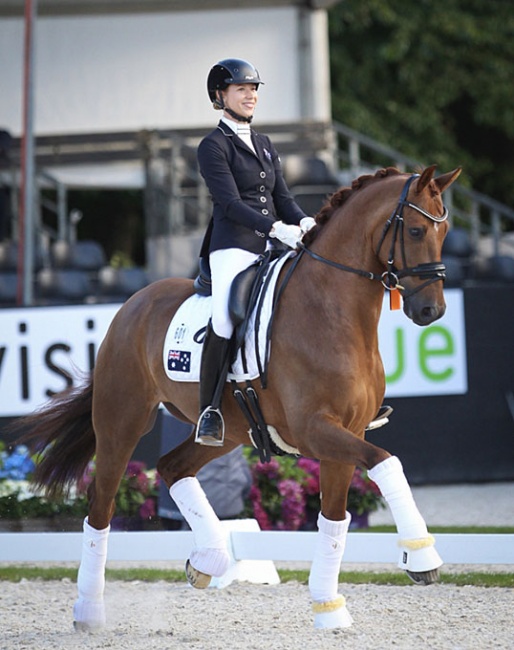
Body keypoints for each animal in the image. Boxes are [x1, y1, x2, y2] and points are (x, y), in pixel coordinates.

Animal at [18, 164, 461, 631]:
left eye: (445, 231)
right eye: (415, 230)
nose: (432, 312)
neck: (332, 312)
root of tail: (132, 305)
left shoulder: (347, 432)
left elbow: (335, 519)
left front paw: (328, 607)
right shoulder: (314, 430)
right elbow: (386, 463)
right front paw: (421, 556)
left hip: (227, 432)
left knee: (172, 467)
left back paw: (208, 559)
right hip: (122, 422)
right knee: (100, 506)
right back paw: (89, 611)